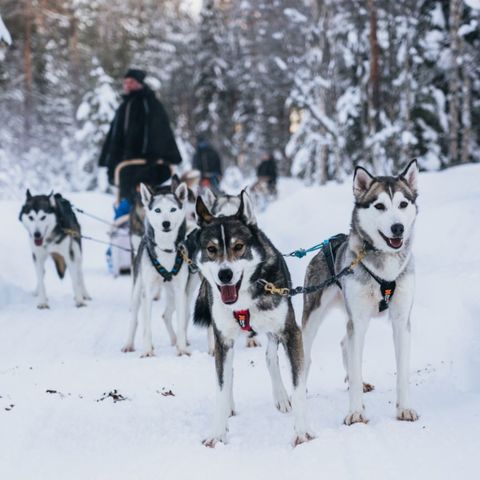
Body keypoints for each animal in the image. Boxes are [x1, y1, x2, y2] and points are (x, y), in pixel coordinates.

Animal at [122, 180, 191, 356]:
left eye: (172, 209)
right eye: (158, 210)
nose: (166, 223)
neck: (165, 250)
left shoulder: (180, 291)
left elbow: (181, 323)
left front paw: (182, 349)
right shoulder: (148, 291)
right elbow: (146, 326)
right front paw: (147, 351)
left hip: (172, 293)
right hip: (138, 290)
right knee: (136, 319)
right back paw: (129, 344)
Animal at [189, 190, 314, 446]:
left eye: (238, 246)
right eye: (211, 249)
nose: (225, 274)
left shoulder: (290, 332)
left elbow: (298, 387)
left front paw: (302, 431)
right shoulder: (223, 340)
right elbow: (221, 386)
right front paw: (217, 432)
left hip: (275, 330)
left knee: (269, 357)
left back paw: (281, 396)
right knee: (229, 372)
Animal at [304, 160, 420, 424]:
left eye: (403, 204)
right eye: (379, 206)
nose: (398, 228)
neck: (385, 270)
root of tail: (328, 243)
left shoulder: (401, 320)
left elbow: (402, 373)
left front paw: (404, 408)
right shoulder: (358, 321)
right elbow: (355, 370)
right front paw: (356, 412)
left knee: (344, 343)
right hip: (313, 317)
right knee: (305, 356)